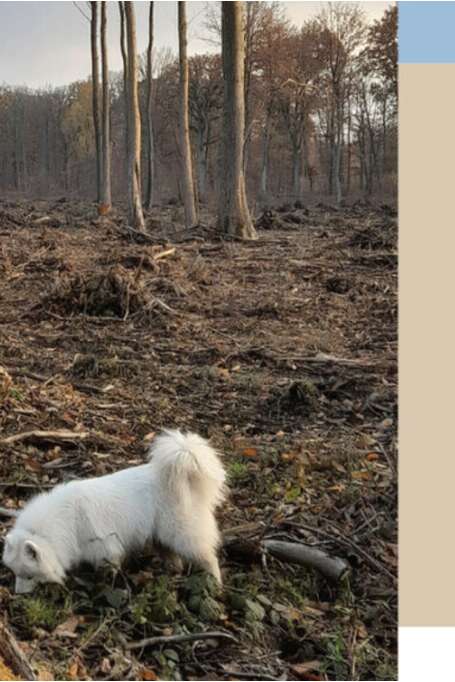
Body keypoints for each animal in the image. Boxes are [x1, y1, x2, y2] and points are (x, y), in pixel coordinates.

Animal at [1, 430, 226, 588]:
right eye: (15, 574)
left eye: (29, 575)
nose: (19, 595)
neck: (65, 520)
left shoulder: (105, 548)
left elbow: (110, 568)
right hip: (160, 536)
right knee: (173, 558)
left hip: (182, 534)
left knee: (208, 558)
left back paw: (215, 584)